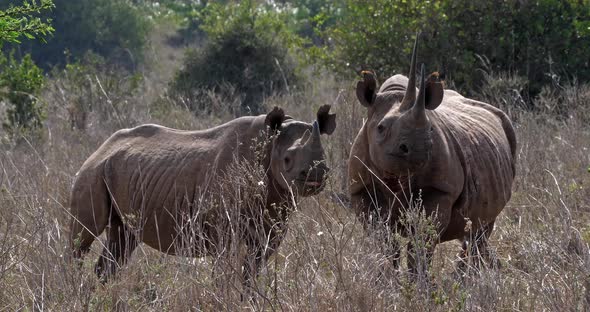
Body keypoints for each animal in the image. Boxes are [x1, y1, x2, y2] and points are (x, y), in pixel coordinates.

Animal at [69, 105, 336, 288]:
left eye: (325, 156)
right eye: (287, 160)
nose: (316, 174)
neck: (270, 143)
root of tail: (101, 148)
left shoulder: (270, 228)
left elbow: (250, 274)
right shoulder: (223, 231)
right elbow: (224, 274)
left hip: (121, 172)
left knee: (123, 238)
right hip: (92, 171)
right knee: (82, 239)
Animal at [352, 37, 520, 276]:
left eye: (430, 129)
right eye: (381, 128)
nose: (420, 149)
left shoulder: (440, 189)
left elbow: (420, 241)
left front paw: (417, 280)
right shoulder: (361, 190)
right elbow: (385, 242)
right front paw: (387, 277)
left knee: (480, 230)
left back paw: (469, 276)